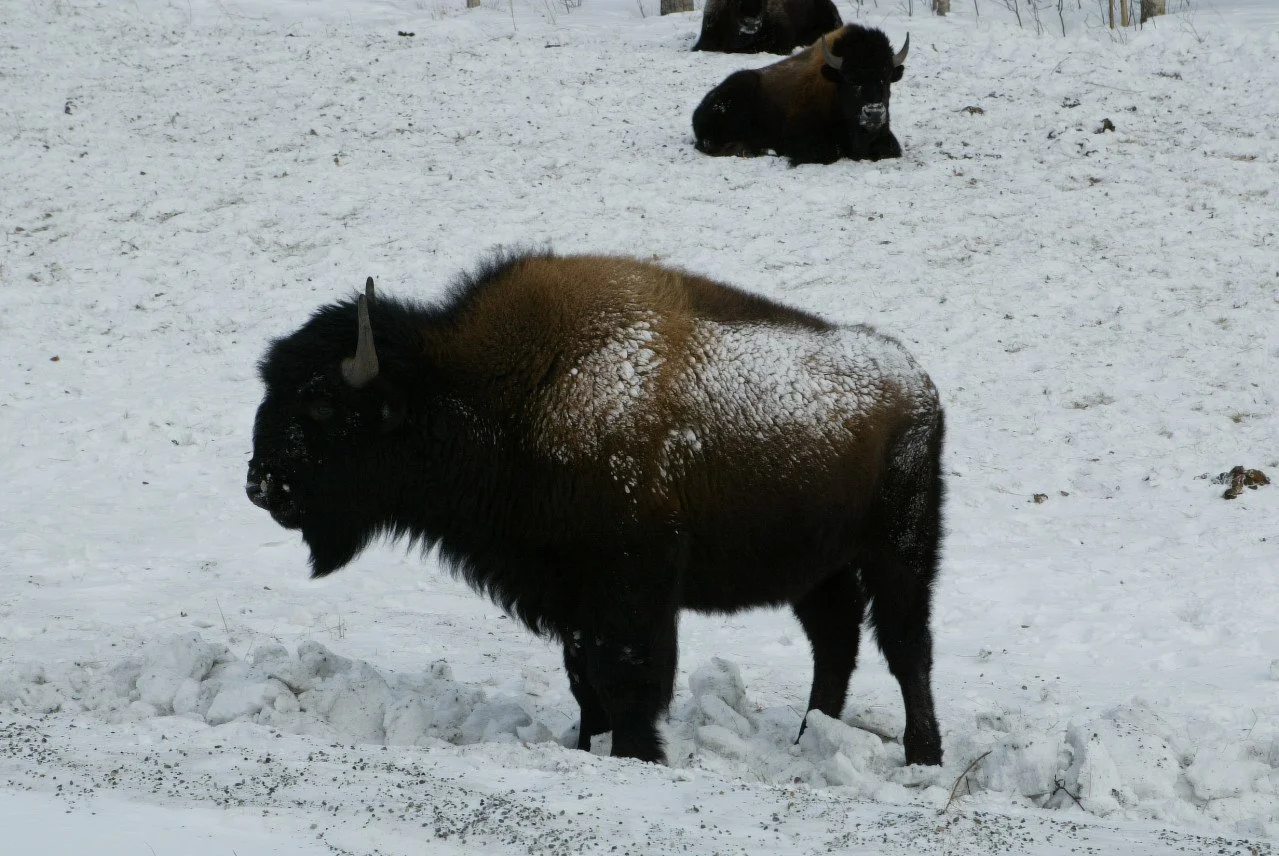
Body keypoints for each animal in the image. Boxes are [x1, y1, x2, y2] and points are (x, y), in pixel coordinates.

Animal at [247, 251, 945, 766]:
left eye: (321, 405)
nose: (260, 484)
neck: (510, 393)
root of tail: (919, 383)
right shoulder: (568, 593)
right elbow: (585, 678)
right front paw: (590, 747)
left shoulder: (631, 584)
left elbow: (627, 673)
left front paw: (639, 755)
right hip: (817, 567)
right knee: (836, 641)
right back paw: (809, 739)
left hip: (901, 550)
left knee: (905, 646)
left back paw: (924, 755)